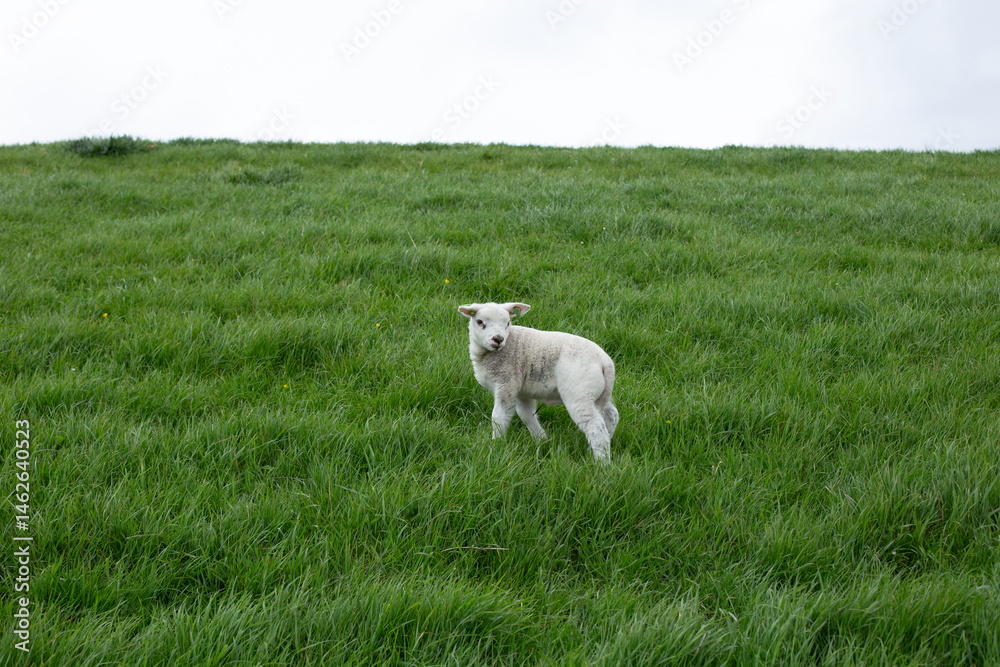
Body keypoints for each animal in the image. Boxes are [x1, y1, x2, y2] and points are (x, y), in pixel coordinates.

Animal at [458, 301, 618, 462]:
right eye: (480, 322)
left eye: (508, 323)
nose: (498, 339)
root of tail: (605, 361)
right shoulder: (521, 390)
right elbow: (526, 414)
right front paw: (541, 440)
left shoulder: (506, 383)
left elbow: (499, 417)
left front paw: (495, 444)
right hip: (599, 394)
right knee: (611, 416)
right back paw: (598, 448)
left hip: (580, 392)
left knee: (595, 427)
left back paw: (602, 462)